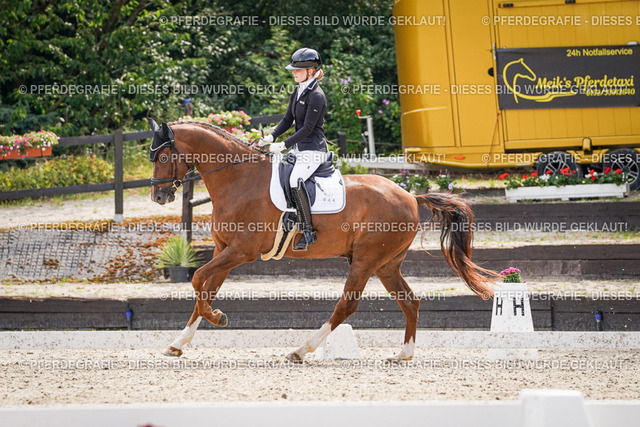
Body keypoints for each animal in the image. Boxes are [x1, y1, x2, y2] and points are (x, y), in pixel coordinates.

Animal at [149, 119, 496, 362]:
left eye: (164, 156)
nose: (158, 196)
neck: (238, 179)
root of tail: (410, 196)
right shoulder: (223, 250)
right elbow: (205, 288)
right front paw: (178, 344)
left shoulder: (240, 251)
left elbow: (198, 279)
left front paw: (218, 317)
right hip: (386, 264)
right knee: (409, 301)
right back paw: (403, 354)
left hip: (366, 260)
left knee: (347, 304)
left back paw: (301, 350)